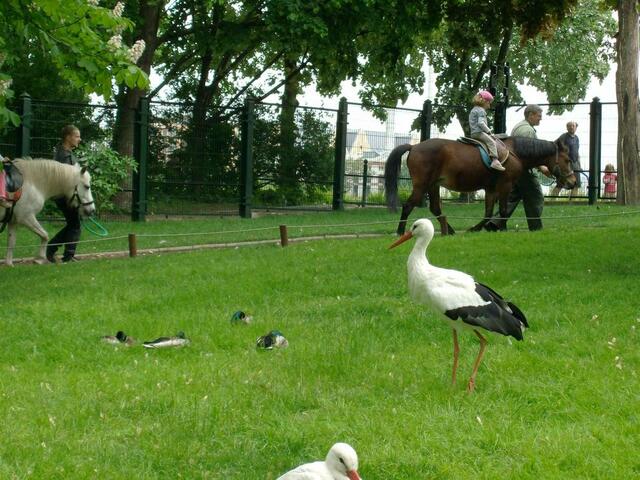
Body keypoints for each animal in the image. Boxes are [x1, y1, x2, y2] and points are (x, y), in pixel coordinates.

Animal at [384, 136, 576, 235]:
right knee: (408, 206)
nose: (573, 182)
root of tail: (414, 146)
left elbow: (488, 213)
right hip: (422, 185)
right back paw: (400, 231)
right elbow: (503, 210)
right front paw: (502, 229)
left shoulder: (490, 189)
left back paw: (449, 230)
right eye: (567, 160)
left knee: (435, 208)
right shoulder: (505, 185)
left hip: (433, 185)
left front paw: (476, 228)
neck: (515, 152)